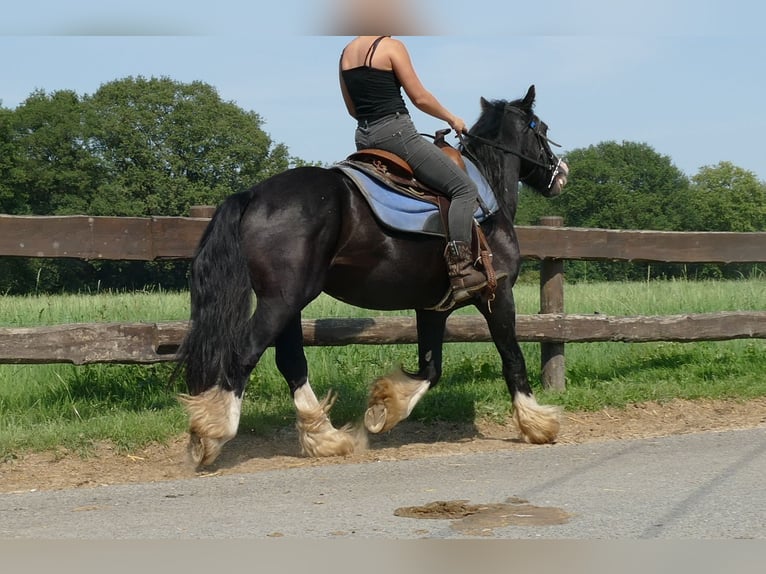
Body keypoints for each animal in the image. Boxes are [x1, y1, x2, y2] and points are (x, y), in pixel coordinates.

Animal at [177, 85, 568, 468]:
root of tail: (253, 194)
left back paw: (326, 437)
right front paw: (537, 422)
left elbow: (431, 369)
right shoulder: (497, 294)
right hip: (281, 301)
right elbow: (512, 358)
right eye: (543, 129)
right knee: (244, 353)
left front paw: (384, 407)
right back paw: (212, 433)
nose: (561, 173)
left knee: (291, 362)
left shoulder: (433, 309)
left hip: (287, 303)